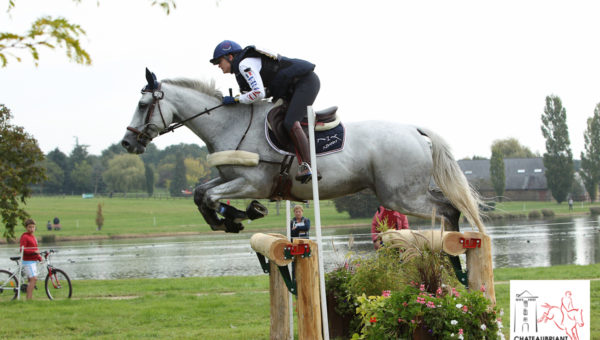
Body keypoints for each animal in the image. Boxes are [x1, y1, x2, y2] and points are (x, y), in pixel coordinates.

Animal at [122, 67, 488, 235]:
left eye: (142, 105)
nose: (127, 143)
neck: (229, 124)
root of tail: (414, 129)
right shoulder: (229, 178)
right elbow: (201, 193)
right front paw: (229, 220)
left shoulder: (252, 183)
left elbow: (211, 197)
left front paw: (241, 215)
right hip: (406, 193)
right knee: (448, 208)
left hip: (401, 195)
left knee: (447, 210)